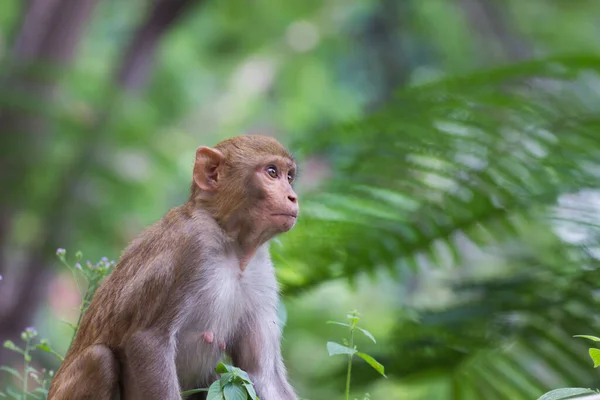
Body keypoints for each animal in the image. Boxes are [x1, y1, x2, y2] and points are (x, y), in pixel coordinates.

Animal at [48, 135, 300, 400]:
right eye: (272, 172)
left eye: (289, 176)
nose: (293, 197)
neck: (232, 245)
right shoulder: (191, 248)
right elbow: (148, 341)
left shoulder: (261, 271)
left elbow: (261, 374)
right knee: (99, 360)